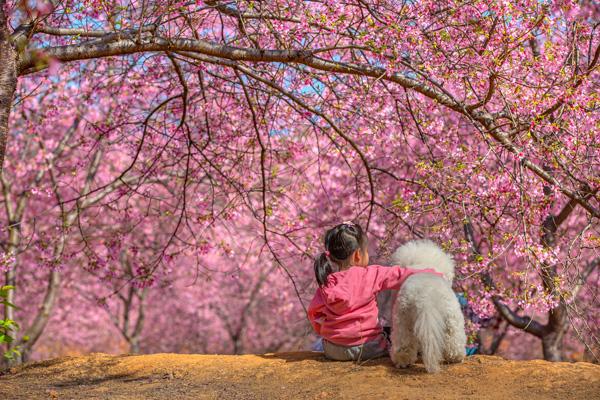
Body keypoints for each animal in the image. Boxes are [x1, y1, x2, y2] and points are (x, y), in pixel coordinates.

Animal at [390, 239, 468, 374]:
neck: (422, 266)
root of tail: (425, 297)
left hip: (403, 319)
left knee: (404, 342)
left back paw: (403, 361)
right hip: (451, 318)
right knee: (453, 340)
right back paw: (456, 357)